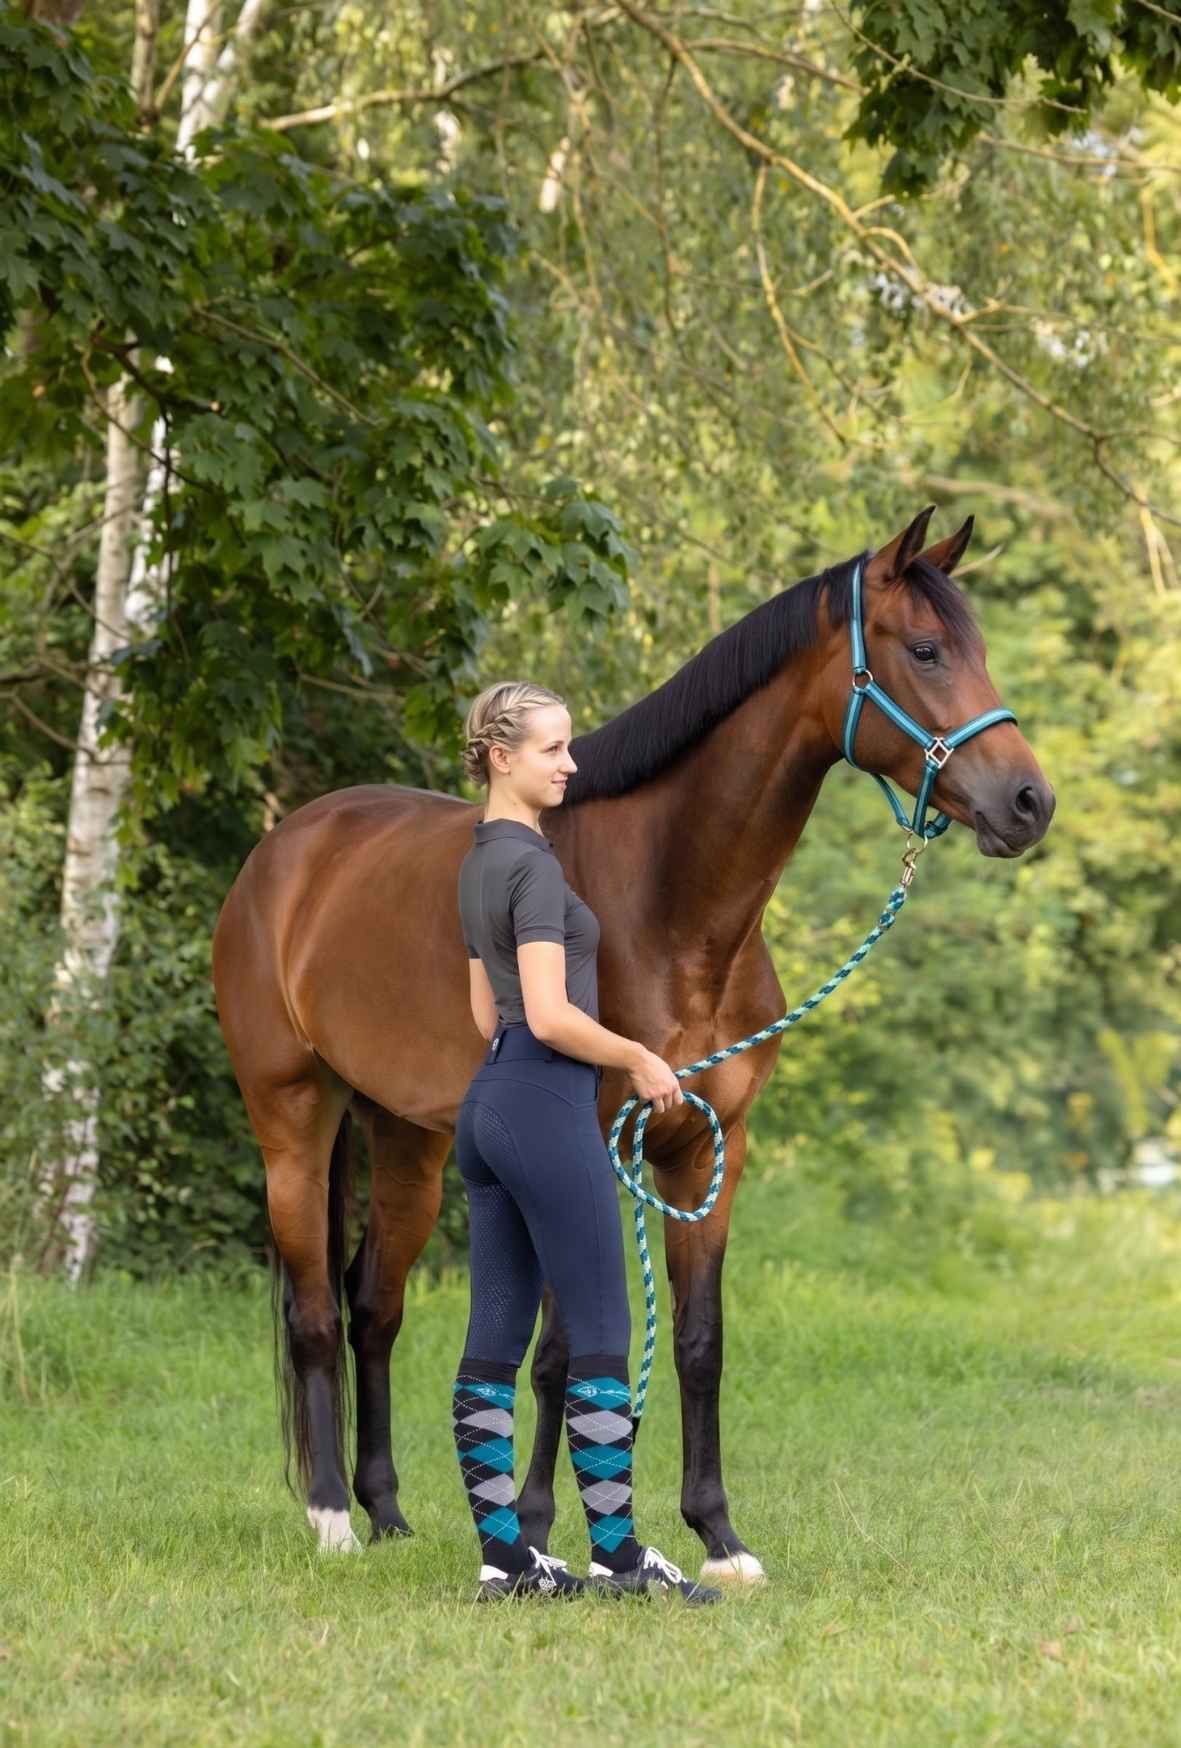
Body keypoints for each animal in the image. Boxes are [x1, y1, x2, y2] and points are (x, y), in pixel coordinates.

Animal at [211, 507, 1054, 1578]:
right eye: (926, 650)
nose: (1029, 803)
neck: (669, 905)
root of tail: (288, 850)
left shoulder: (704, 1151)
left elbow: (697, 1340)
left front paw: (718, 1535)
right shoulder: (579, 1145)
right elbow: (560, 1356)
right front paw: (536, 1535)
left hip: (409, 1140)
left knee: (374, 1307)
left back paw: (389, 1513)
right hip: (292, 1116)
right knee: (316, 1312)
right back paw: (330, 1521)